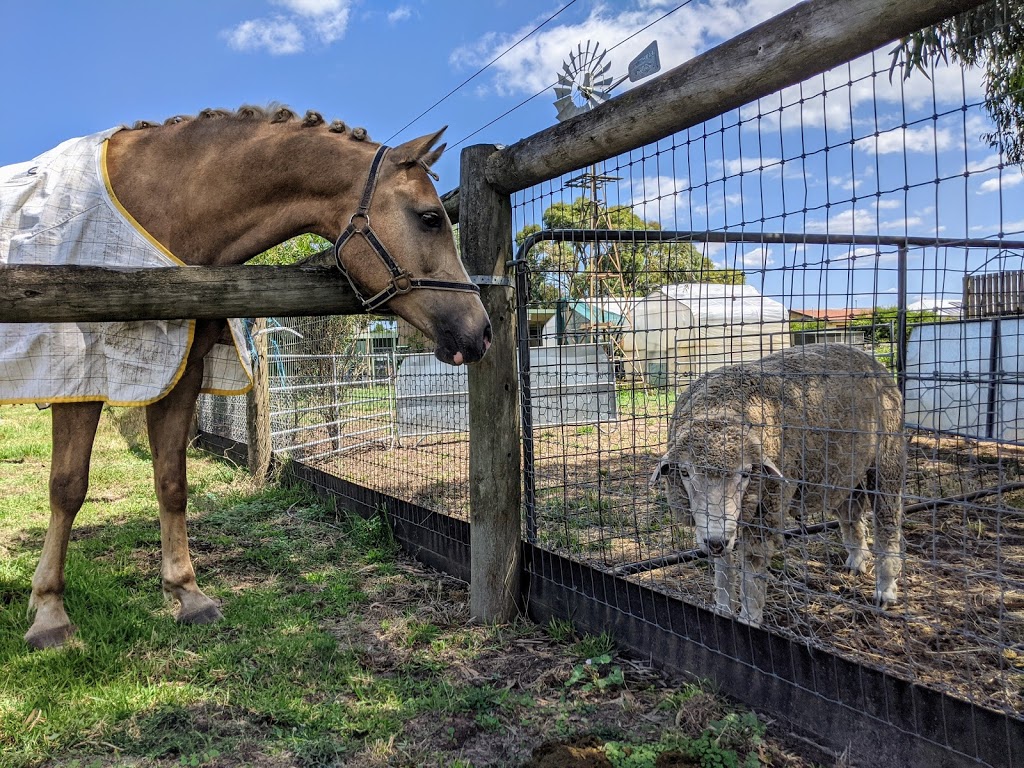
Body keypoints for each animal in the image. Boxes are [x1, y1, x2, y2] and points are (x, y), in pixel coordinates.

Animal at [17, 107, 491, 651]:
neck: (163, 207)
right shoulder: (80, 375)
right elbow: (67, 487)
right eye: (430, 218)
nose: (482, 330)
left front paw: (186, 594)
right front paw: (49, 612)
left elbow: (171, 482)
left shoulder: (180, 373)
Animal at [647, 346, 905, 626]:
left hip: (887, 461)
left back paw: (885, 589)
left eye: (746, 473)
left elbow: (752, 573)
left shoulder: (763, 515)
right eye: (684, 471)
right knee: (851, 514)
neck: (720, 407)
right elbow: (723, 571)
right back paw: (857, 560)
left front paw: (748, 620)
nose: (715, 541)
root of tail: (868, 356)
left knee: (887, 522)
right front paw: (723, 611)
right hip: (841, 473)